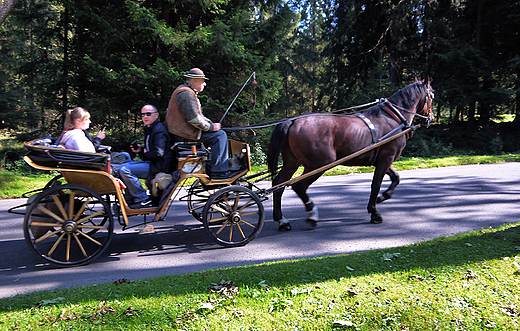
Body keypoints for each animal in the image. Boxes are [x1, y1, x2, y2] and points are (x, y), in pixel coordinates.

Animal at [266, 79, 432, 232]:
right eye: (432, 95)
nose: (430, 118)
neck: (393, 118)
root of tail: (292, 121)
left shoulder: (383, 160)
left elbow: (396, 178)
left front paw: (382, 197)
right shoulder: (386, 158)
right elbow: (376, 184)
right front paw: (374, 212)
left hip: (292, 162)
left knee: (278, 185)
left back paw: (282, 220)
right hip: (319, 164)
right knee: (299, 186)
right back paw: (312, 215)